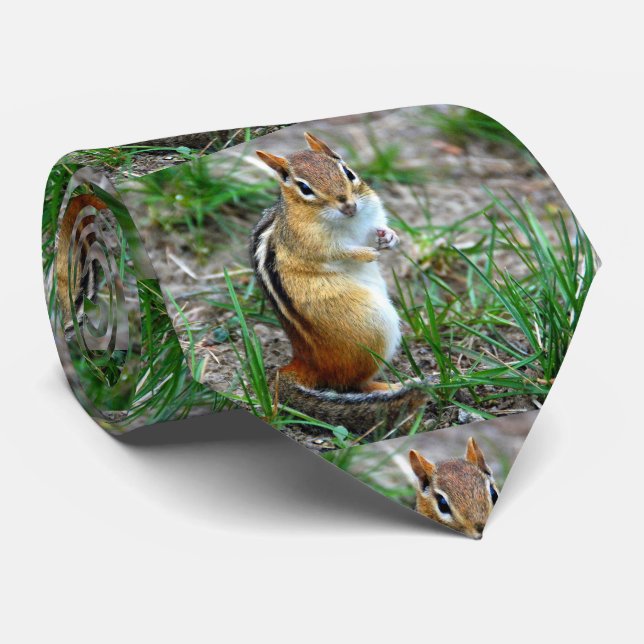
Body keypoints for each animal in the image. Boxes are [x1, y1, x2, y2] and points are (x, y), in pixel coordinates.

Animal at [250, 132, 429, 434]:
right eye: (304, 188)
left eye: (348, 172)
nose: (348, 205)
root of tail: (306, 360)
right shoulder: (311, 244)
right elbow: (338, 253)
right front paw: (366, 254)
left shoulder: (372, 214)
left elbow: (380, 228)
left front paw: (390, 238)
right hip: (373, 326)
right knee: (354, 384)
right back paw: (397, 385)